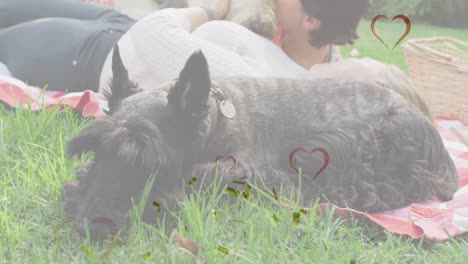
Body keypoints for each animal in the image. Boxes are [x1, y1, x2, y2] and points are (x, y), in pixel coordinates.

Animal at [62, 45, 458, 239]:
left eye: (147, 161)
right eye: (95, 151)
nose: (88, 226)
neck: (214, 119)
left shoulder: (242, 168)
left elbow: (205, 178)